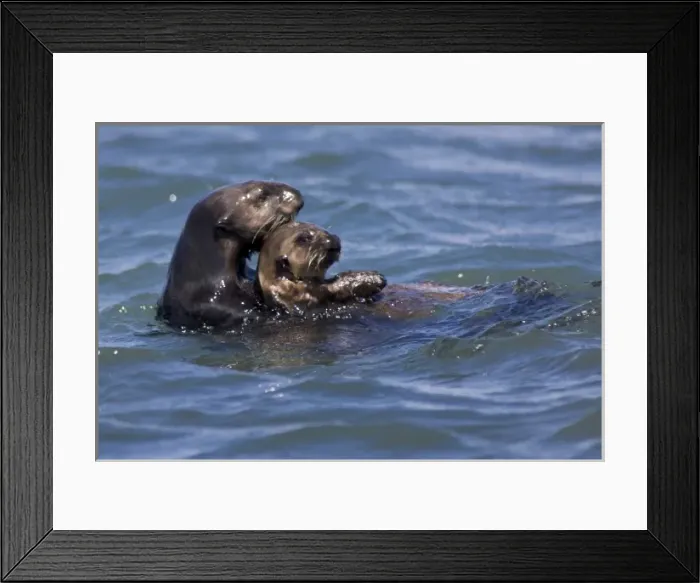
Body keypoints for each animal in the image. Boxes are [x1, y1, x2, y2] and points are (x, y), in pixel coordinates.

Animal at [254, 221, 387, 315]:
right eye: (304, 239)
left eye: (321, 228)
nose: (332, 238)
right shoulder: (310, 295)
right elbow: (335, 286)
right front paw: (374, 279)